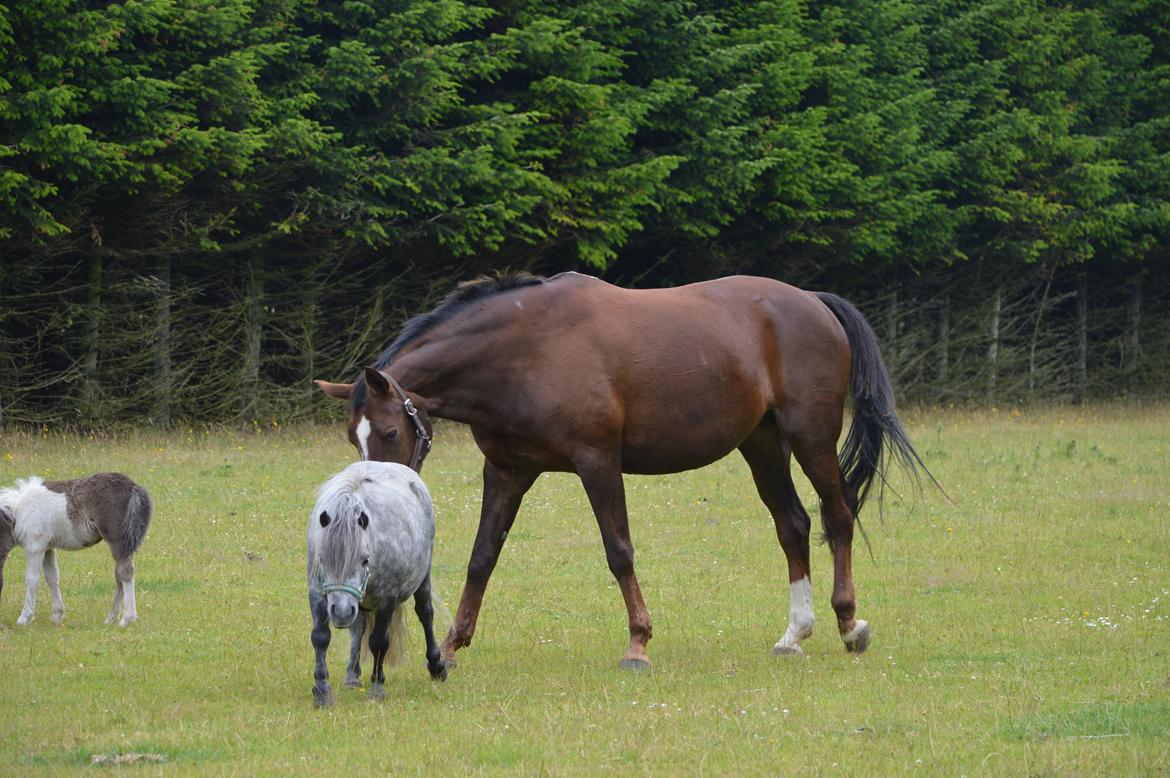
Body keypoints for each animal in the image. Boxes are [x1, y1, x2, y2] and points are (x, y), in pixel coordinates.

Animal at [0, 472, 150, 627]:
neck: (17, 513)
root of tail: (132, 486)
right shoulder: (47, 548)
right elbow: (52, 577)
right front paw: (57, 615)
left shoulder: (34, 548)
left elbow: (31, 579)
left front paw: (24, 618)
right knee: (119, 574)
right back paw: (110, 618)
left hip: (117, 541)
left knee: (125, 571)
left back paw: (126, 619)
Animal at [313, 271, 931, 669]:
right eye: (353, 436)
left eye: (389, 433)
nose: (382, 504)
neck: (526, 351)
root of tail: (811, 301)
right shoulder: (507, 471)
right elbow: (482, 557)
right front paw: (450, 645)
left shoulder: (597, 463)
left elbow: (619, 551)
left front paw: (638, 642)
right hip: (760, 445)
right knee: (794, 526)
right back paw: (794, 634)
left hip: (810, 437)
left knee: (839, 515)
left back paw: (849, 624)